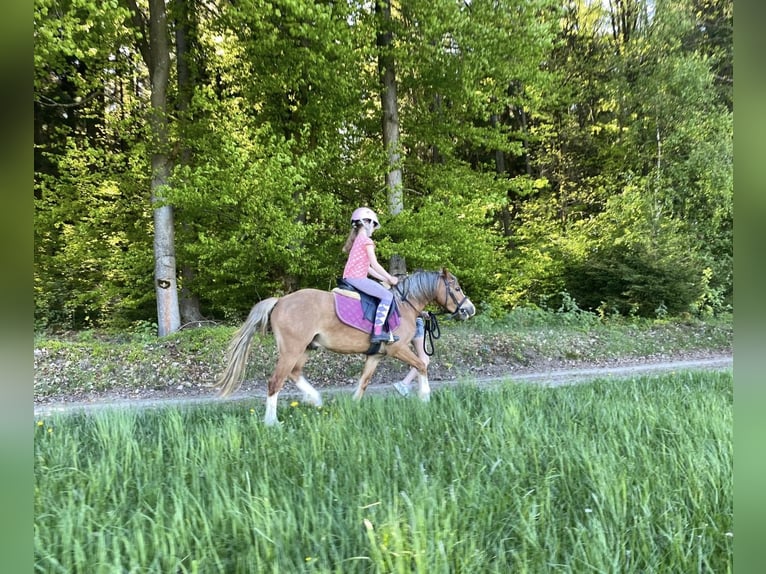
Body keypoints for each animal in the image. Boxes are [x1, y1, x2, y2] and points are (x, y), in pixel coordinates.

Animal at [213, 268, 476, 425]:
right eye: (457, 288)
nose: (469, 309)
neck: (404, 305)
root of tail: (280, 301)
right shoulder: (397, 349)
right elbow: (422, 364)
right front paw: (425, 398)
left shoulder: (376, 356)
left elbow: (364, 381)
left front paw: (353, 407)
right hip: (292, 349)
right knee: (275, 381)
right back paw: (272, 422)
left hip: (305, 348)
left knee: (294, 373)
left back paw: (315, 399)